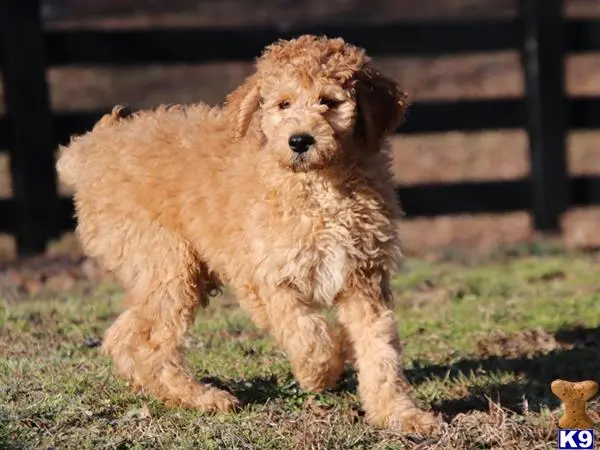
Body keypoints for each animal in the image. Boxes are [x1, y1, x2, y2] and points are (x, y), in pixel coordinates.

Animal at [55, 35, 440, 436]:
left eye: (329, 102)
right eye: (283, 104)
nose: (299, 141)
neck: (318, 188)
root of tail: (90, 150)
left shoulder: (364, 279)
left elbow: (381, 350)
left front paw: (399, 414)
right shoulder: (265, 276)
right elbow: (305, 330)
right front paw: (321, 371)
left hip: (169, 270)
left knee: (126, 335)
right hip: (168, 261)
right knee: (149, 341)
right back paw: (204, 398)